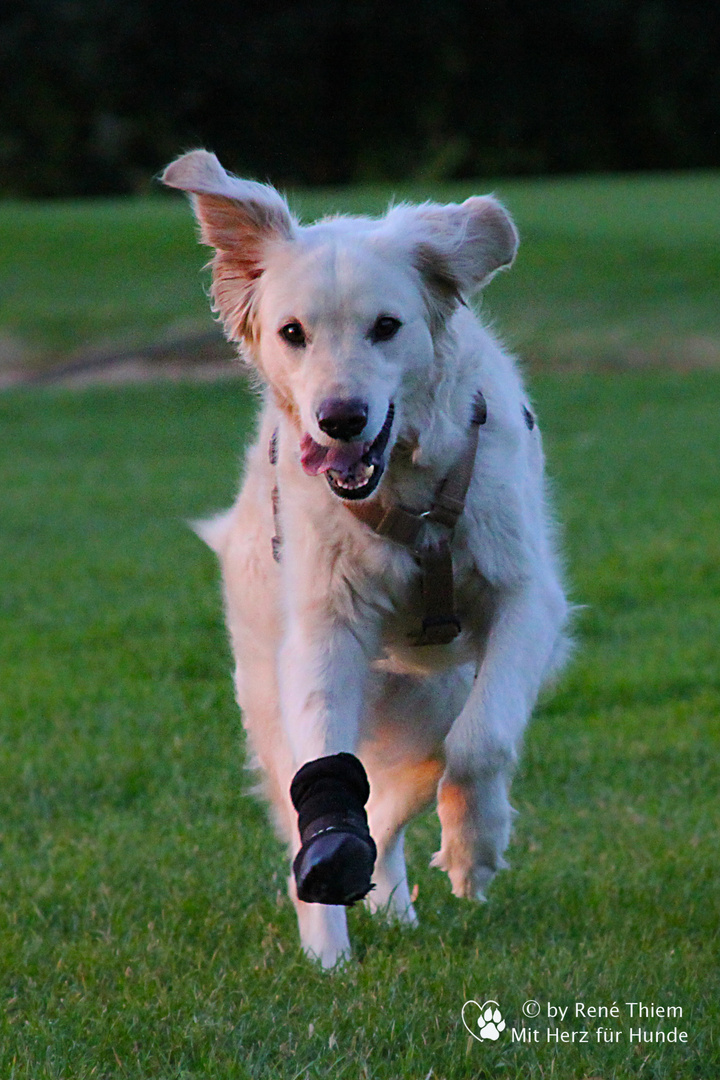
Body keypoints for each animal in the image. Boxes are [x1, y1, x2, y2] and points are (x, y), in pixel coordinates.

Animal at [161, 147, 569, 967]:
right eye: (292, 331)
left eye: (387, 327)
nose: (340, 418)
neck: (408, 490)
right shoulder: (324, 634)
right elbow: (324, 776)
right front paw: (329, 937)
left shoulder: (525, 598)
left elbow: (483, 739)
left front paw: (476, 849)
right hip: (273, 691)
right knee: (340, 805)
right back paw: (336, 942)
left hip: (434, 704)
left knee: (404, 793)